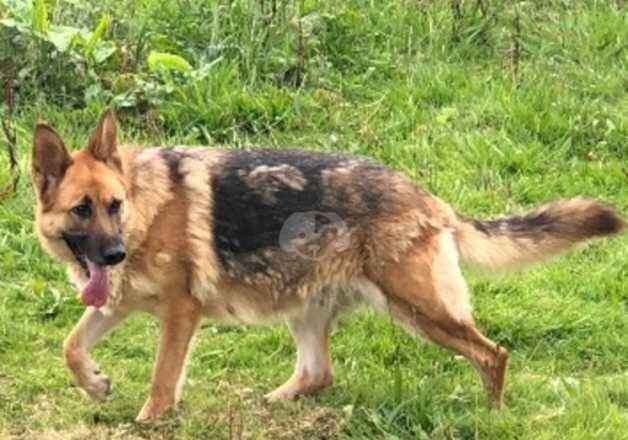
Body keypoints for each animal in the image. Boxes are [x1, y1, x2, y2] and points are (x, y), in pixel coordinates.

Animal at [31, 110, 624, 420]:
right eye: (82, 209)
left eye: (115, 205)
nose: (113, 255)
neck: (146, 208)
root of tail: (427, 197)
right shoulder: (114, 302)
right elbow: (69, 346)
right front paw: (96, 384)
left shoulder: (181, 313)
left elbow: (160, 380)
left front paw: (148, 421)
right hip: (307, 308)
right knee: (319, 373)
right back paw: (273, 401)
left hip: (420, 310)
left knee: (492, 353)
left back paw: (492, 417)